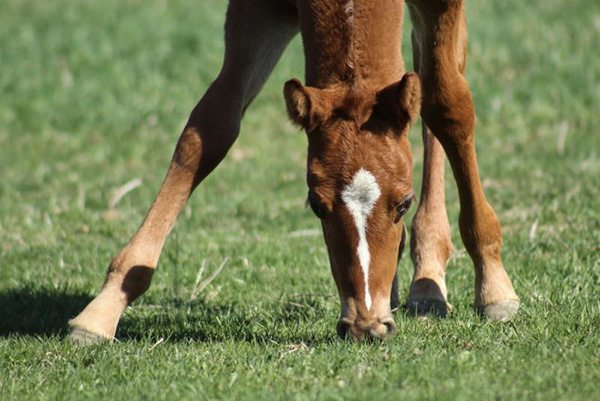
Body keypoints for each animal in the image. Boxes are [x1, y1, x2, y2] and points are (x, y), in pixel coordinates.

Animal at [69, 0, 520, 344]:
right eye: (316, 206)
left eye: (403, 204)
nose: (365, 327)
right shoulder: (256, 10)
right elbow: (209, 129)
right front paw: (102, 310)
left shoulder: (443, 4)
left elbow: (448, 104)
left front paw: (495, 287)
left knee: (436, 75)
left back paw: (428, 279)